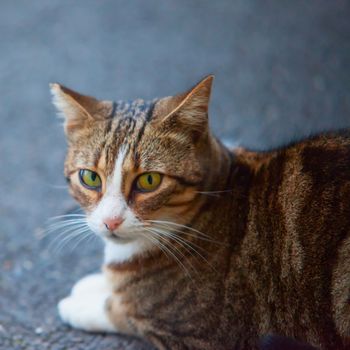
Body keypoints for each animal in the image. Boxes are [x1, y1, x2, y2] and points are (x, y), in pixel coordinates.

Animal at [50, 76, 350, 350]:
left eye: (149, 180)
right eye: (90, 177)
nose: (110, 221)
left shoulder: (206, 332)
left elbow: (123, 311)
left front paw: (81, 304)